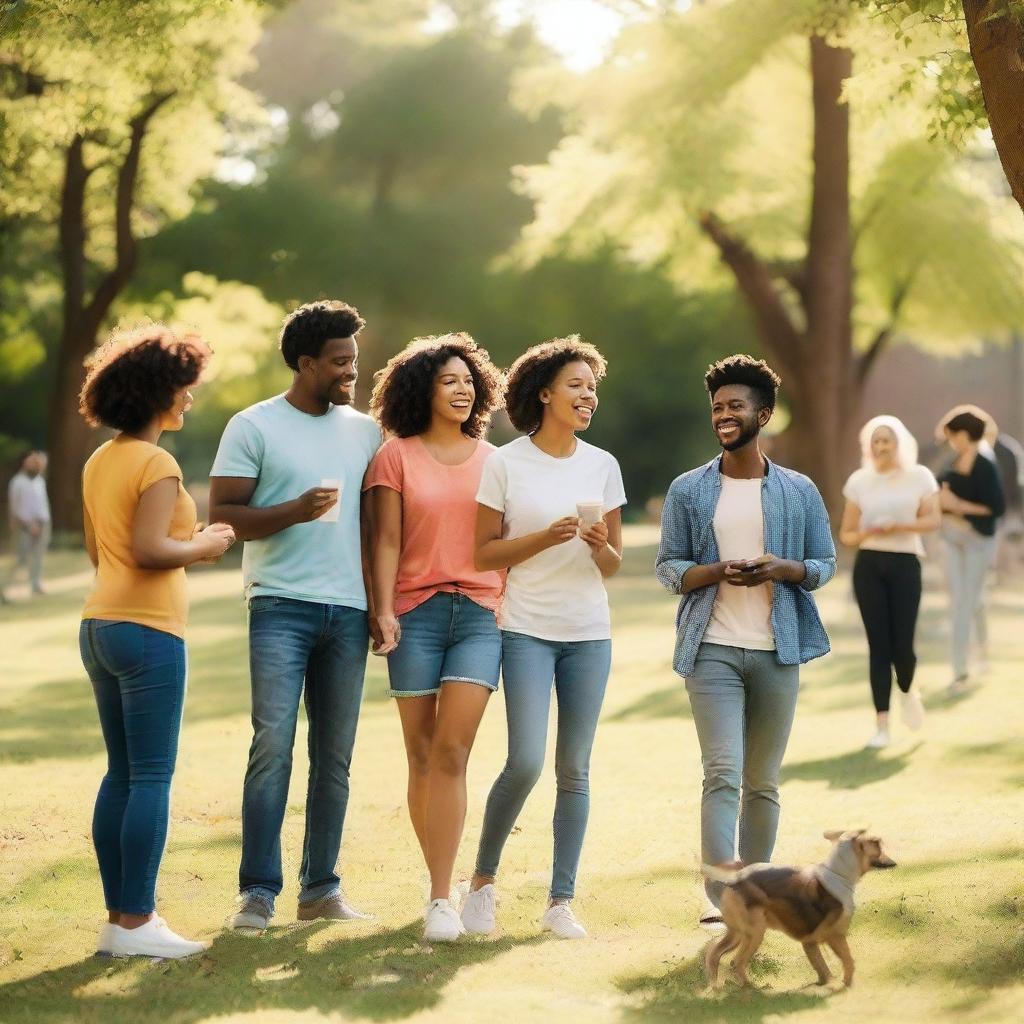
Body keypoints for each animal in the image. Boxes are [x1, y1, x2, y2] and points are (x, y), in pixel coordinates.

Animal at [704, 827, 897, 987]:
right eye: (878, 845)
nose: (894, 862)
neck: (840, 875)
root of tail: (735, 879)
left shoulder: (810, 942)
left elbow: (822, 967)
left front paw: (827, 983)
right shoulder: (835, 936)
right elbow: (848, 960)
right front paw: (846, 986)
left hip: (736, 933)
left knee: (714, 954)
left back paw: (715, 987)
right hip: (755, 932)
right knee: (737, 961)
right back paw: (752, 989)